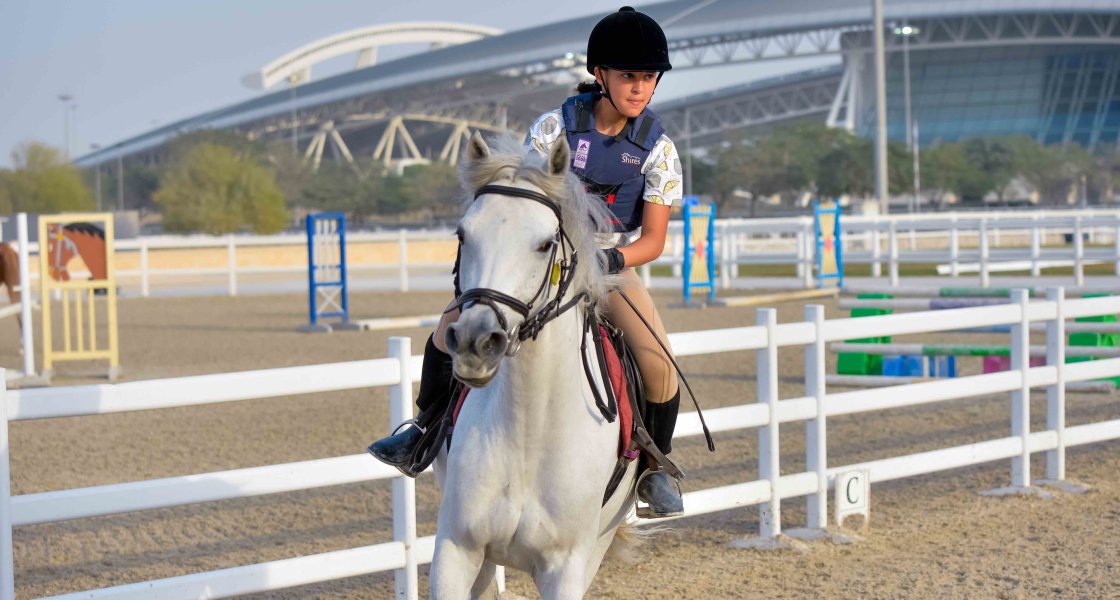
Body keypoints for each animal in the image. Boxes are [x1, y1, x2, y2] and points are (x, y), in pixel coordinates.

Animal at [427, 132, 640, 600]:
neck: (528, 428)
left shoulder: (566, 567)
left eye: (544, 244)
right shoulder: (457, 549)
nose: (475, 342)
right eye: (463, 235)